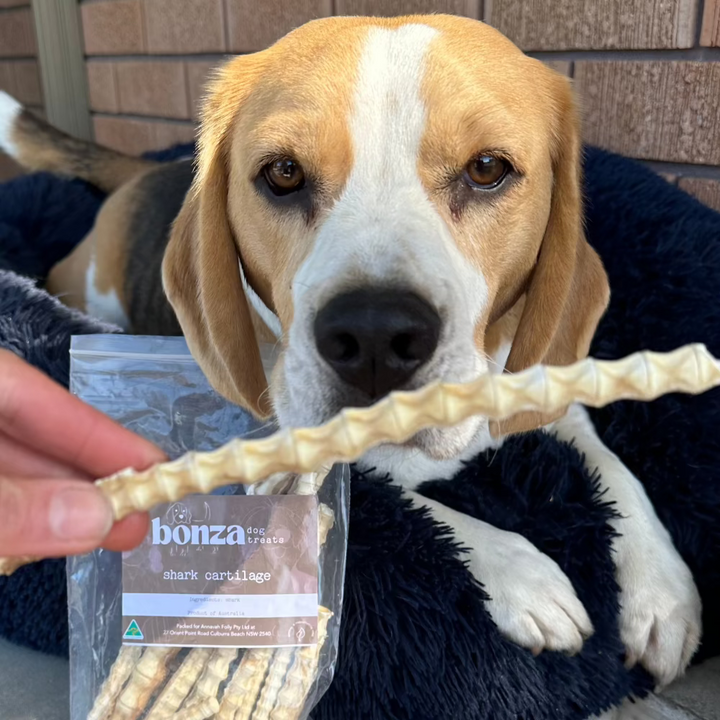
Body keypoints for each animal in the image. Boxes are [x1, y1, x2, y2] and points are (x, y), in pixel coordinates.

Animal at [0, 12, 700, 696]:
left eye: (486, 168)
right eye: (283, 173)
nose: (374, 337)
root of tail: (149, 171)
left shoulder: (547, 388)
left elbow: (616, 472)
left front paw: (663, 592)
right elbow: (419, 511)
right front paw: (524, 575)